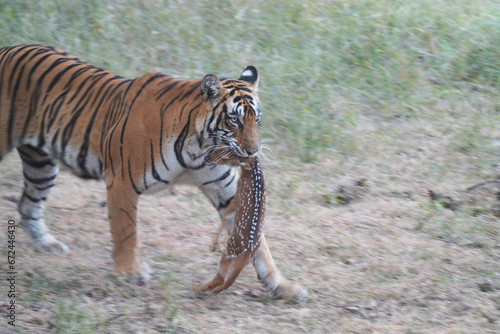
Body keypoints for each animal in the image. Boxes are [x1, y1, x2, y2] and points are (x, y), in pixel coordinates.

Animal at [0, 45, 306, 300]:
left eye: (258, 120)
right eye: (234, 120)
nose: (253, 152)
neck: (199, 149)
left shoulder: (225, 190)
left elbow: (257, 241)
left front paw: (283, 286)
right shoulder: (121, 182)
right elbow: (126, 232)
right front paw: (129, 273)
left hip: (41, 165)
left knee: (29, 205)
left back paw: (47, 244)